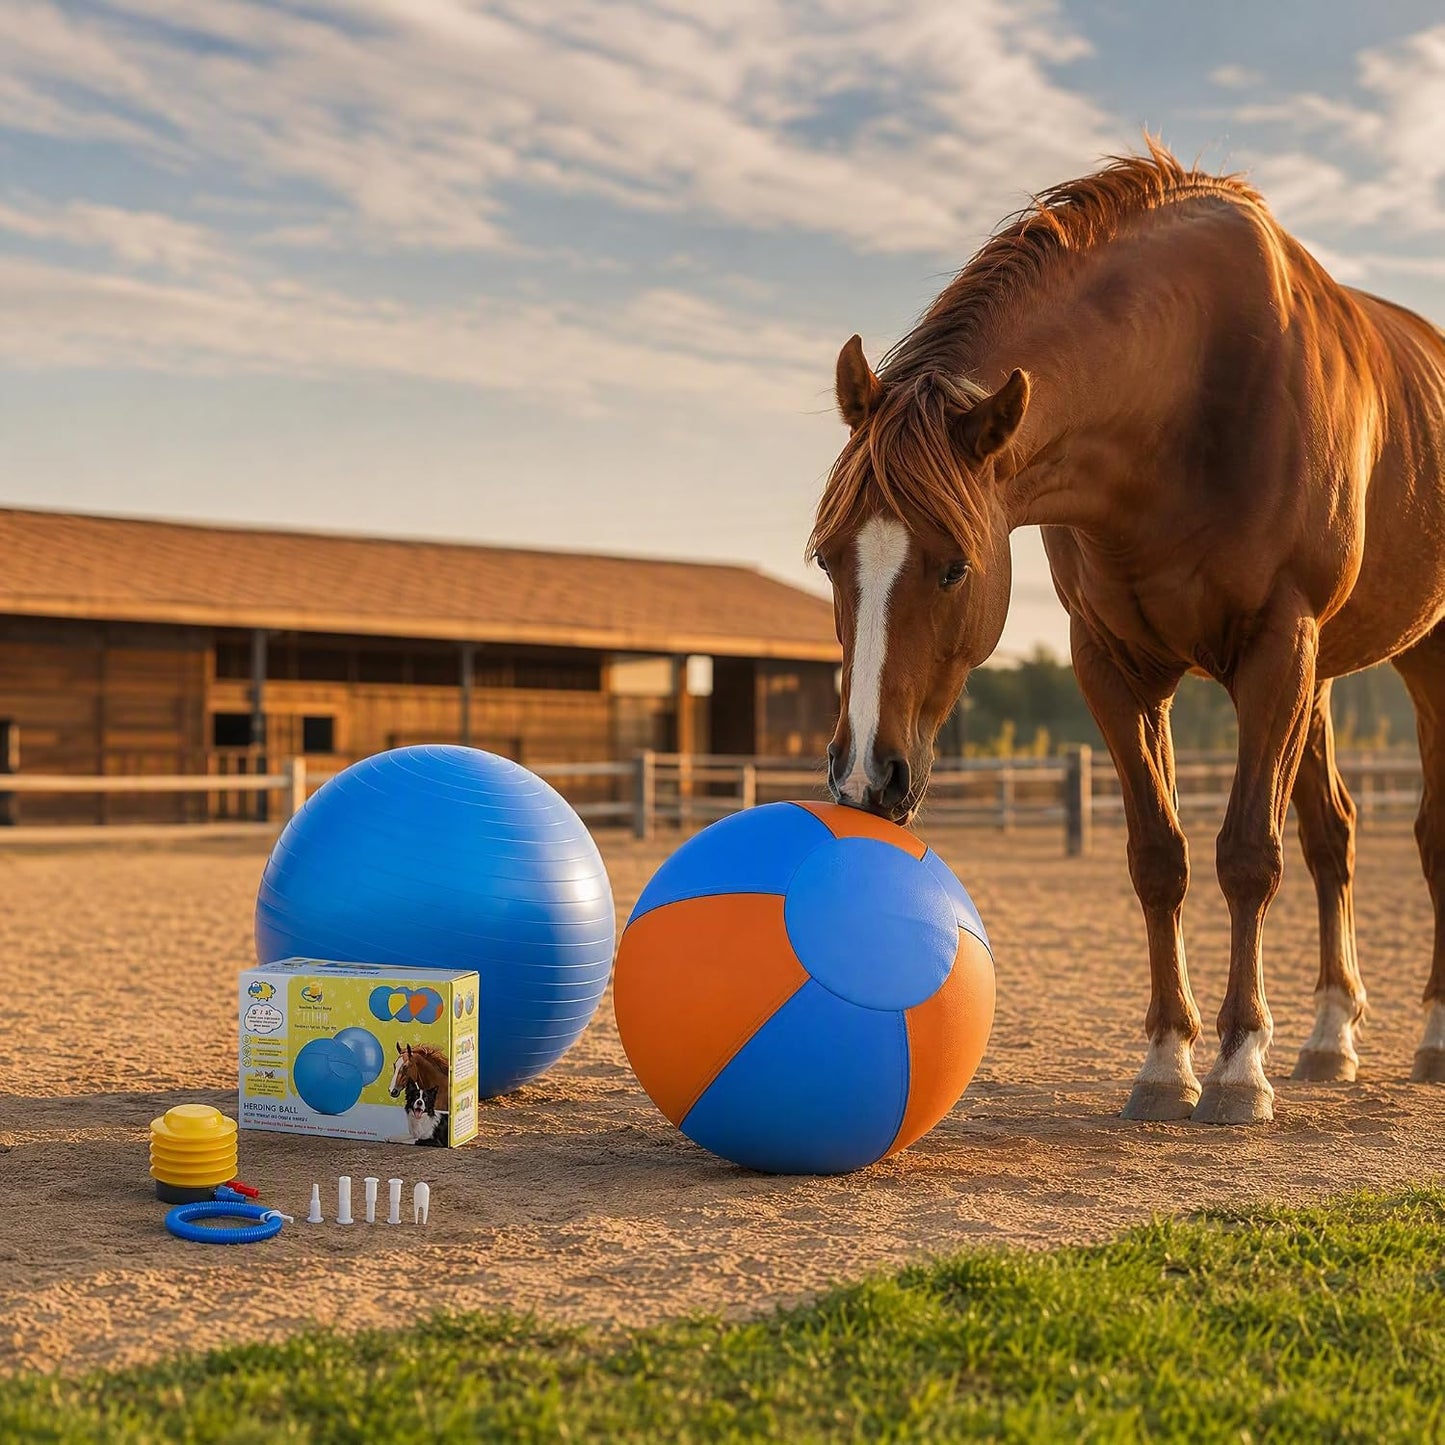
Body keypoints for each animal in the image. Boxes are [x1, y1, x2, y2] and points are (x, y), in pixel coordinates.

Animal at [809, 140, 1445, 1126]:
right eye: (830, 559)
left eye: (954, 566)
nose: (865, 778)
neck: (1189, 394)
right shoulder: (1113, 665)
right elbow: (1159, 858)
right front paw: (1165, 1060)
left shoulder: (1274, 648)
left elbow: (1245, 856)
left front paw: (1237, 1067)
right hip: (1323, 677)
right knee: (1333, 832)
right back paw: (1330, 1035)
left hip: (1410, 659)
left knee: (1423, 831)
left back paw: (1432, 1035)